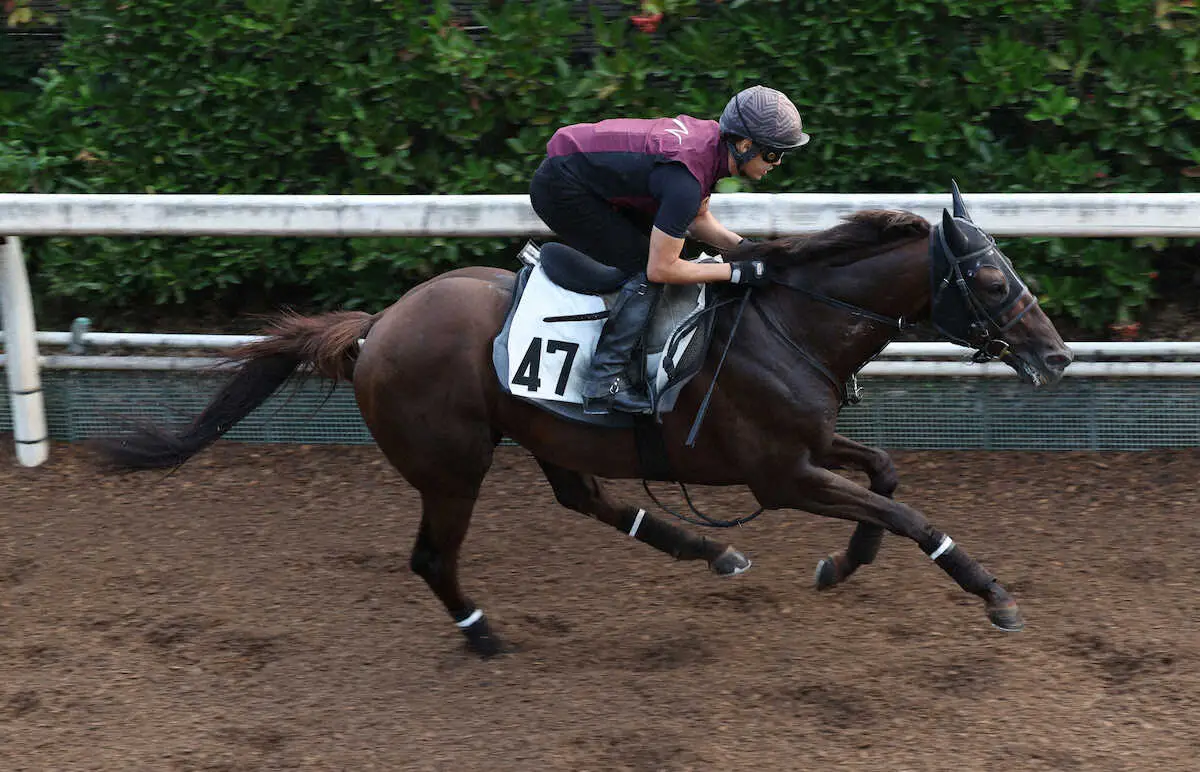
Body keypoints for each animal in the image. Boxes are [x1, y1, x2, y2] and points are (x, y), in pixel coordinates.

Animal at [98, 182, 1075, 657]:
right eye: (993, 280)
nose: (1058, 354)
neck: (788, 323)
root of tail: (379, 327)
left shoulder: (809, 449)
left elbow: (886, 475)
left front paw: (843, 563)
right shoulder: (780, 474)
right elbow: (903, 509)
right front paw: (991, 594)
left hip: (541, 429)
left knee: (589, 499)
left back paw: (708, 550)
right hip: (452, 465)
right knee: (433, 557)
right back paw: (484, 634)